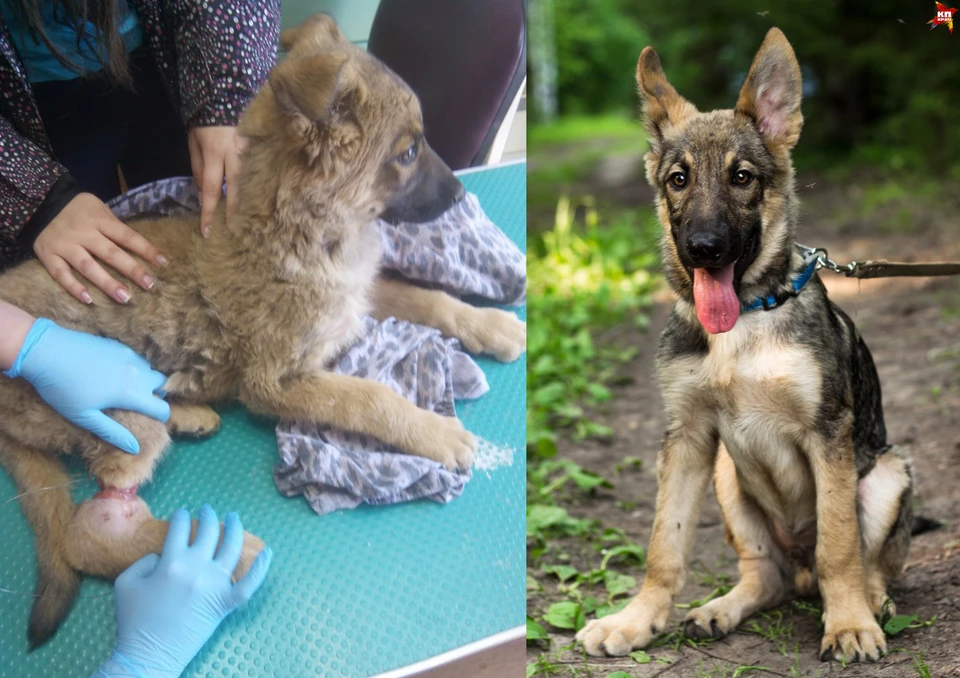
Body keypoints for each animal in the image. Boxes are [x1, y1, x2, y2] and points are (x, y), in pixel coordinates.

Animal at [0, 13, 524, 652]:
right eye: (406, 152)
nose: (460, 195)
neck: (302, 227)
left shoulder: (357, 296)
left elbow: (429, 298)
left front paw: (491, 324)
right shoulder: (275, 381)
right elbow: (366, 396)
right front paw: (435, 432)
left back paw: (187, 413)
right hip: (112, 411)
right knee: (89, 529)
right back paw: (211, 565)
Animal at [572, 29, 912, 668]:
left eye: (743, 177)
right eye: (678, 180)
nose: (704, 248)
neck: (745, 325)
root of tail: (799, 574)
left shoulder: (828, 435)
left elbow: (839, 546)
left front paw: (849, 624)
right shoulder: (687, 437)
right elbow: (664, 546)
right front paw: (635, 621)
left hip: (887, 472)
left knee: (865, 562)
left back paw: (870, 604)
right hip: (732, 478)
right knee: (766, 575)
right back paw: (720, 610)